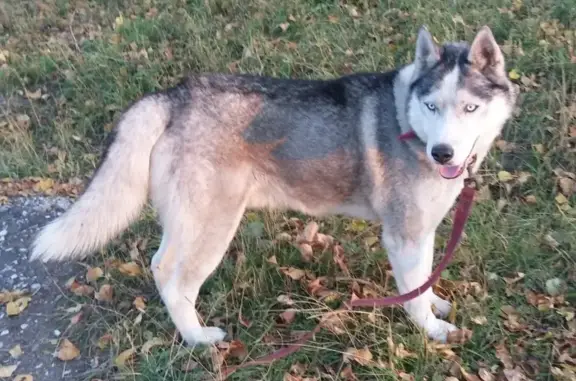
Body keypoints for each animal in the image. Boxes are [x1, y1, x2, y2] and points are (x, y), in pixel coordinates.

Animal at [29, 25, 520, 342]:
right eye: (432, 106)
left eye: (470, 108)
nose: (443, 154)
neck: (408, 122)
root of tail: (176, 95)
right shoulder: (403, 234)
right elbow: (413, 296)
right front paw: (432, 330)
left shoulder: (423, 232)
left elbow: (425, 282)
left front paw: (435, 304)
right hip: (214, 225)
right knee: (174, 277)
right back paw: (198, 338)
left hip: (185, 220)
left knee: (157, 263)